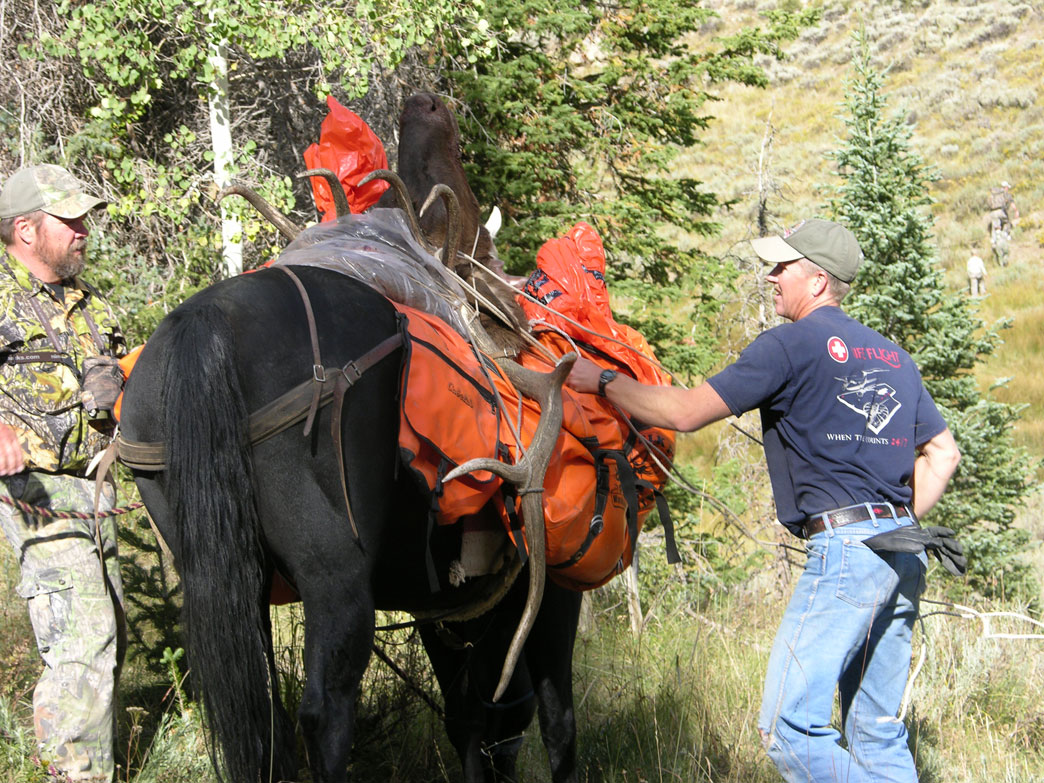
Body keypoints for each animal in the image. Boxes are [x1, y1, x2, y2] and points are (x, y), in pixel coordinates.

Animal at [120, 265, 588, 783]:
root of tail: (206, 323)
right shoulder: (547, 590)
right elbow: (555, 720)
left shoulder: (440, 603)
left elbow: (467, 717)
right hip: (335, 572)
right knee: (325, 714)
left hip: (232, 577)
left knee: (262, 718)